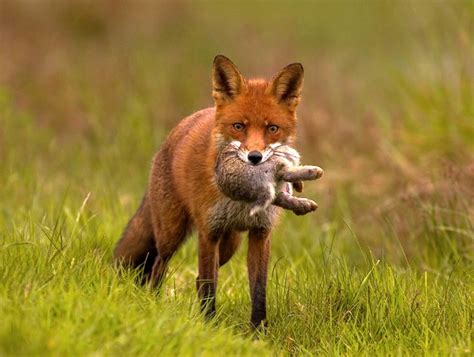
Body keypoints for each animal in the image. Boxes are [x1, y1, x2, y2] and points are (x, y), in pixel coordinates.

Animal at [115, 54, 308, 326]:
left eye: (272, 128)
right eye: (238, 126)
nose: (255, 158)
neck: (242, 200)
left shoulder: (260, 233)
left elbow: (258, 289)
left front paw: (258, 330)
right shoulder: (209, 232)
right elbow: (208, 286)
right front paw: (208, 326)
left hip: (230, 244)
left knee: (197, 276)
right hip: (171, 233)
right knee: (158, 266)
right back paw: (153, 302)